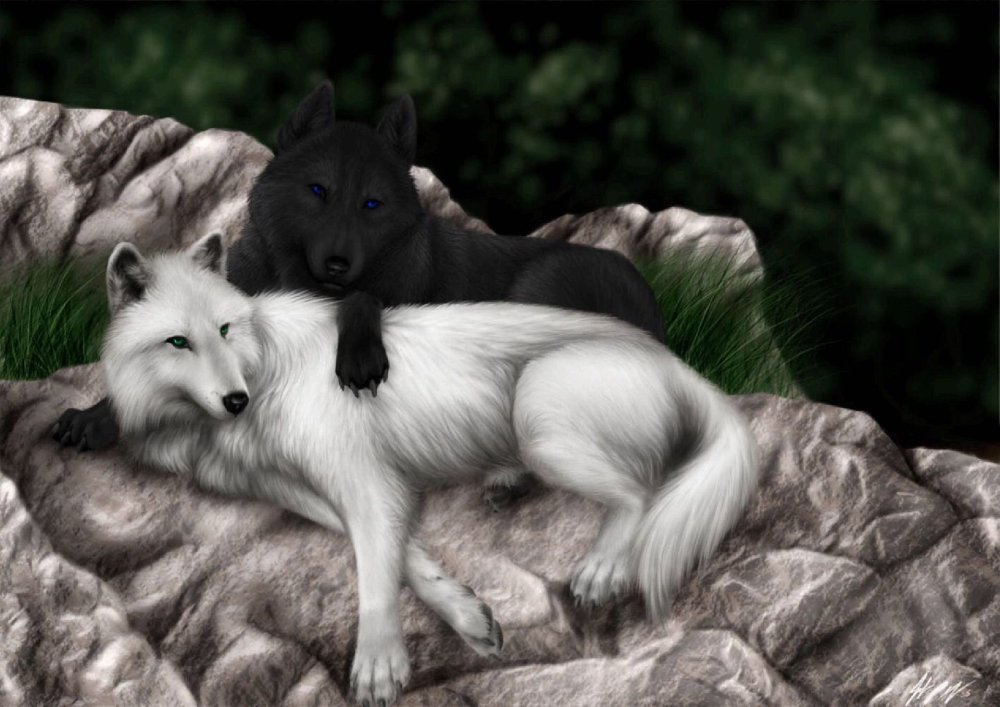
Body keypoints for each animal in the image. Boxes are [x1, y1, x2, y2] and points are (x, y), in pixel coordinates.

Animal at [55, 80, 665, 509]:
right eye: (317, 191)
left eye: (372, 204)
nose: (338, 264)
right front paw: (93, 416)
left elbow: (364, 299)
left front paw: (360, 355)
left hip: (536, 298)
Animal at [102, 234, 758, 706]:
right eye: (178, 342)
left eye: (224, 329)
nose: (236, 400)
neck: (263, 366)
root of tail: (676, 363)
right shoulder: (304, 491)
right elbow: (405, 555)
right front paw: (468, 616)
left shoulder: (363, 481)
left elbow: (374, 570)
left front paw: (378, 666)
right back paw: (505, 483)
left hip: (539, 412)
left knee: (642, 492)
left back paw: (601, 570)